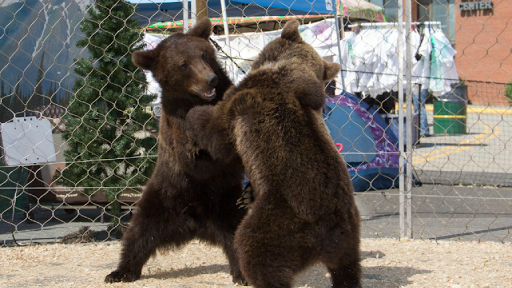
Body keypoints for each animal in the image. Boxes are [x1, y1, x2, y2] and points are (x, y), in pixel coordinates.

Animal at [103, 18, 247, 286]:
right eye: (183, 64)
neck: (197, 101)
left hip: (228, 204)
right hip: (162, 196)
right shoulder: (175, 123)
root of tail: (196, 224)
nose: (211, 80)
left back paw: (242, 273)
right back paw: (120, 271)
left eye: (204, 54)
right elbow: (196, 157)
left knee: (238, 235)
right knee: (139, 232)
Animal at [186, 20, 362, 288]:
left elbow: (217, 135)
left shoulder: (242, 102)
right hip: (349, 236)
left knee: (257, 255)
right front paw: (247, 194)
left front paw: (194, 122)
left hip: (276, 226)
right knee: (348, 268)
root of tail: (327, 235)